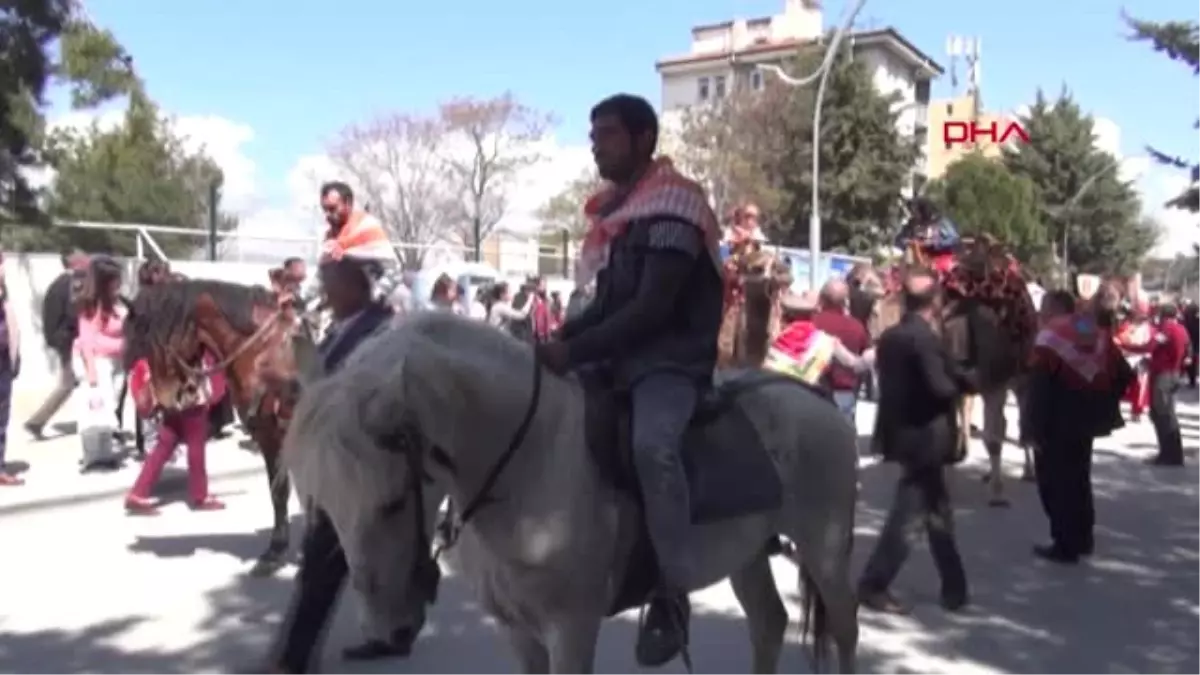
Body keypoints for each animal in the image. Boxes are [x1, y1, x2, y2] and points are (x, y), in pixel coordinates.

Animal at [123, 276, 314, 569]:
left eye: (151, 337)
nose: (163, 396)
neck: (264, 351)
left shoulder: (275, 434)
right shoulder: (277, 437)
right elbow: (282, 491)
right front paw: (279, 548)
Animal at [280, 312, 864, 672]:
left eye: (394, 501)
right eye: (326, 509)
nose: (387, 629)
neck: (529, 463)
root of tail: (814, 398)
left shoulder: (572, 630)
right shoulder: (518, 633)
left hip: (826, 550)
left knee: (844, 629)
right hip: (747, 554)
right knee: (769, 624)